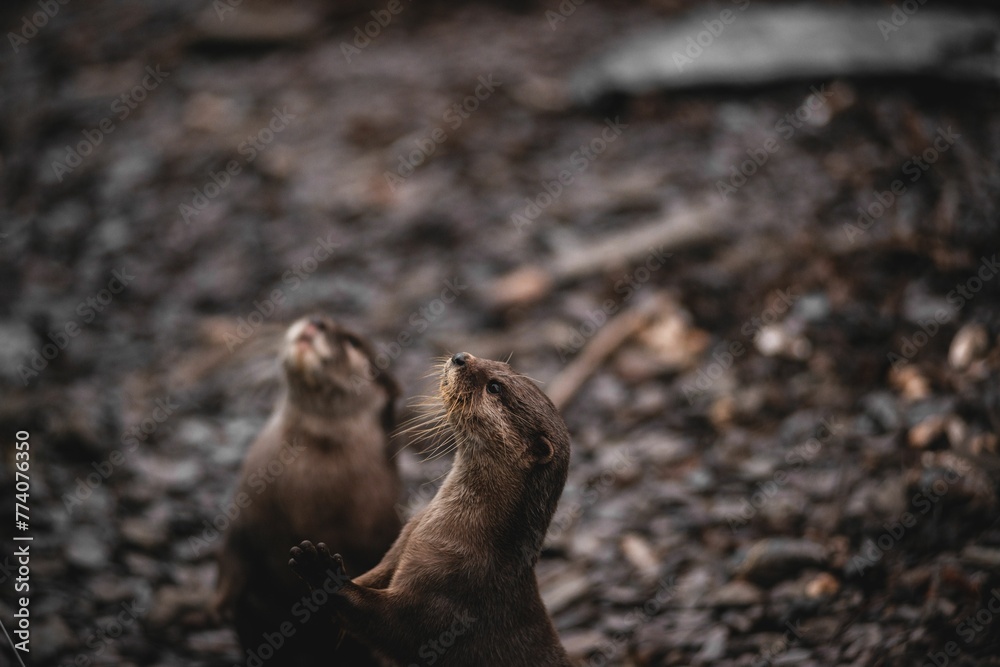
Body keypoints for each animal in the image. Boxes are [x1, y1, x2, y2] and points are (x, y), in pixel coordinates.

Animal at [289, 352, 573, 666]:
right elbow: (373, 576)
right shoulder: (402, 545)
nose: (461, 357)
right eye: (501, 365)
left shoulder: (450, 598)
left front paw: (324, 574)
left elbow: (391, 625)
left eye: (495, 387)